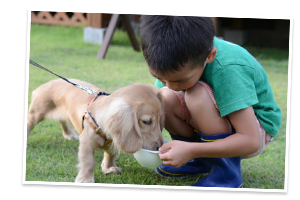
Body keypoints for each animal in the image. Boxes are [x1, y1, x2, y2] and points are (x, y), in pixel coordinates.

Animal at [26, 79, 164, 183]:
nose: (159, 147)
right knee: (29, 124)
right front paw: (85, 179)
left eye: (159, 120)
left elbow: (110, 155)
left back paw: (69, 134)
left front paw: (109, 168)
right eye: (146, 121)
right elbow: (88, 162)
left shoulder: (113, 143)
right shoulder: (86, 143)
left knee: (62, 121)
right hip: (36, 114)